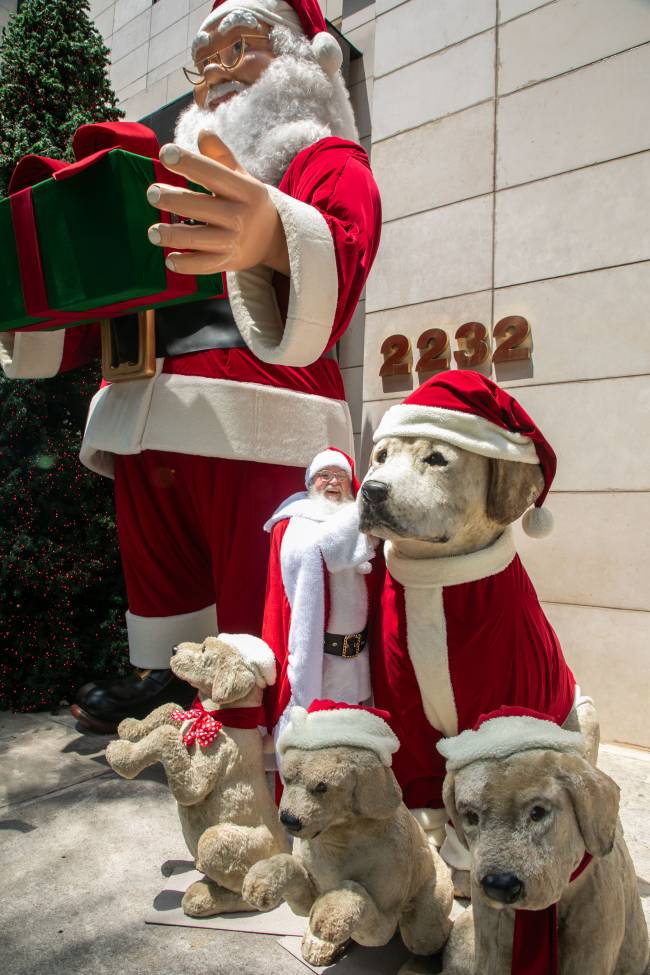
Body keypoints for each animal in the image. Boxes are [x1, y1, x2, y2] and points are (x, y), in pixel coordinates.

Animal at [105, 636, 284, 920]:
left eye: (203, 650)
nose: (173, 649)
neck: (217, 715)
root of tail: (289, 854)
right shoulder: (187, 718)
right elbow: (170, 708)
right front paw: (130, 727)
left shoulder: (199, 778)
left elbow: (166, 736)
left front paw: (121, 755)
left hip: (222, 845)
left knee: (252, 896)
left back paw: (203, 898)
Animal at [242, 704, 450, 972]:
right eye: (286, 779)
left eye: (322, 787)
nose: (289, 820)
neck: (338, 842)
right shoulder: (310, 889)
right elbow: (288, 866)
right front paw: (261, 881)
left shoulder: (385, 918)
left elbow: (355, 893)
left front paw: (331, 915)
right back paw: (320, 945)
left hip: (425, 916)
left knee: (428, 937)